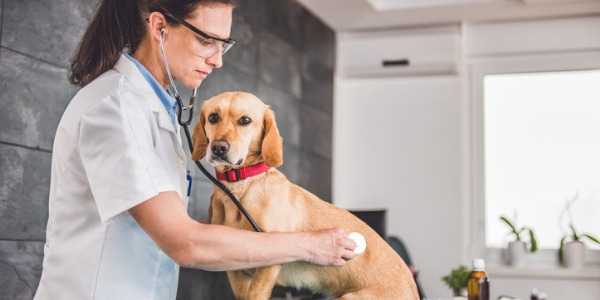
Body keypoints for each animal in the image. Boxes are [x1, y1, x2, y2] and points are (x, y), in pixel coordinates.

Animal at [192, 92, 418, 300]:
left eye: (245, 120)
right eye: (213, 117)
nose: (218, 147)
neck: (240, 186)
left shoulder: (270, 262)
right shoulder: (235, 270)